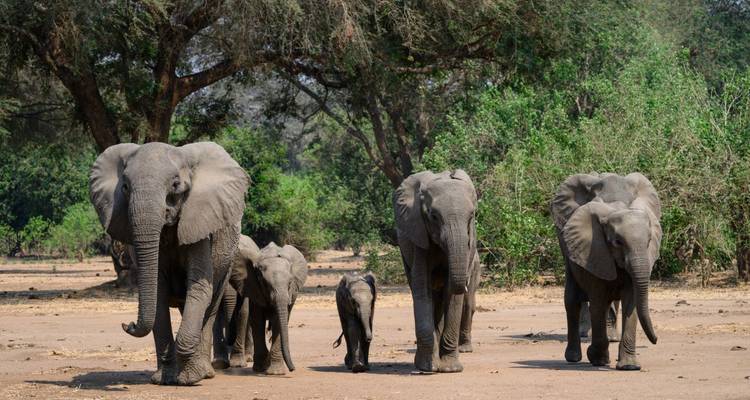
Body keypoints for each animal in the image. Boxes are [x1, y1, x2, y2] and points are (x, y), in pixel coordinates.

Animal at [89, 141, 250, 385]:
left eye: (175, 185)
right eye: (125, 187)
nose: (128, 324)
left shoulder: (200, 224)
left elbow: (199, 288)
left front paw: (187, 377)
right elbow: (157, 293)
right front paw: (164, 379)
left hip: (228, 258)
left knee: (211, 305)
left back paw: (203, 373)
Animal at [229, 239, 308, 375]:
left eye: (290, 283)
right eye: (265, 284)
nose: (292, 369)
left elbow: (278, 322)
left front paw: (276, 372)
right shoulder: (254, 288)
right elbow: (258, 321)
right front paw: (260, 369)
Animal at [394, 169, 481, 373]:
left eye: (472, 216)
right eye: (433, 216)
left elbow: (453, 294)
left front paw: (451, 369)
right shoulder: (418, 235)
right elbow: (422, 287)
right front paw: (428, 368)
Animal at [551, 172, 662, 370]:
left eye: (649, 241)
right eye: (618, 242)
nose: (656, 340)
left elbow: (631, 302)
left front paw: (629, 366)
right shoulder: (593, 251)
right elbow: (597, 300)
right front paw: (598, 359)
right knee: (572, 299)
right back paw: (574, 357)